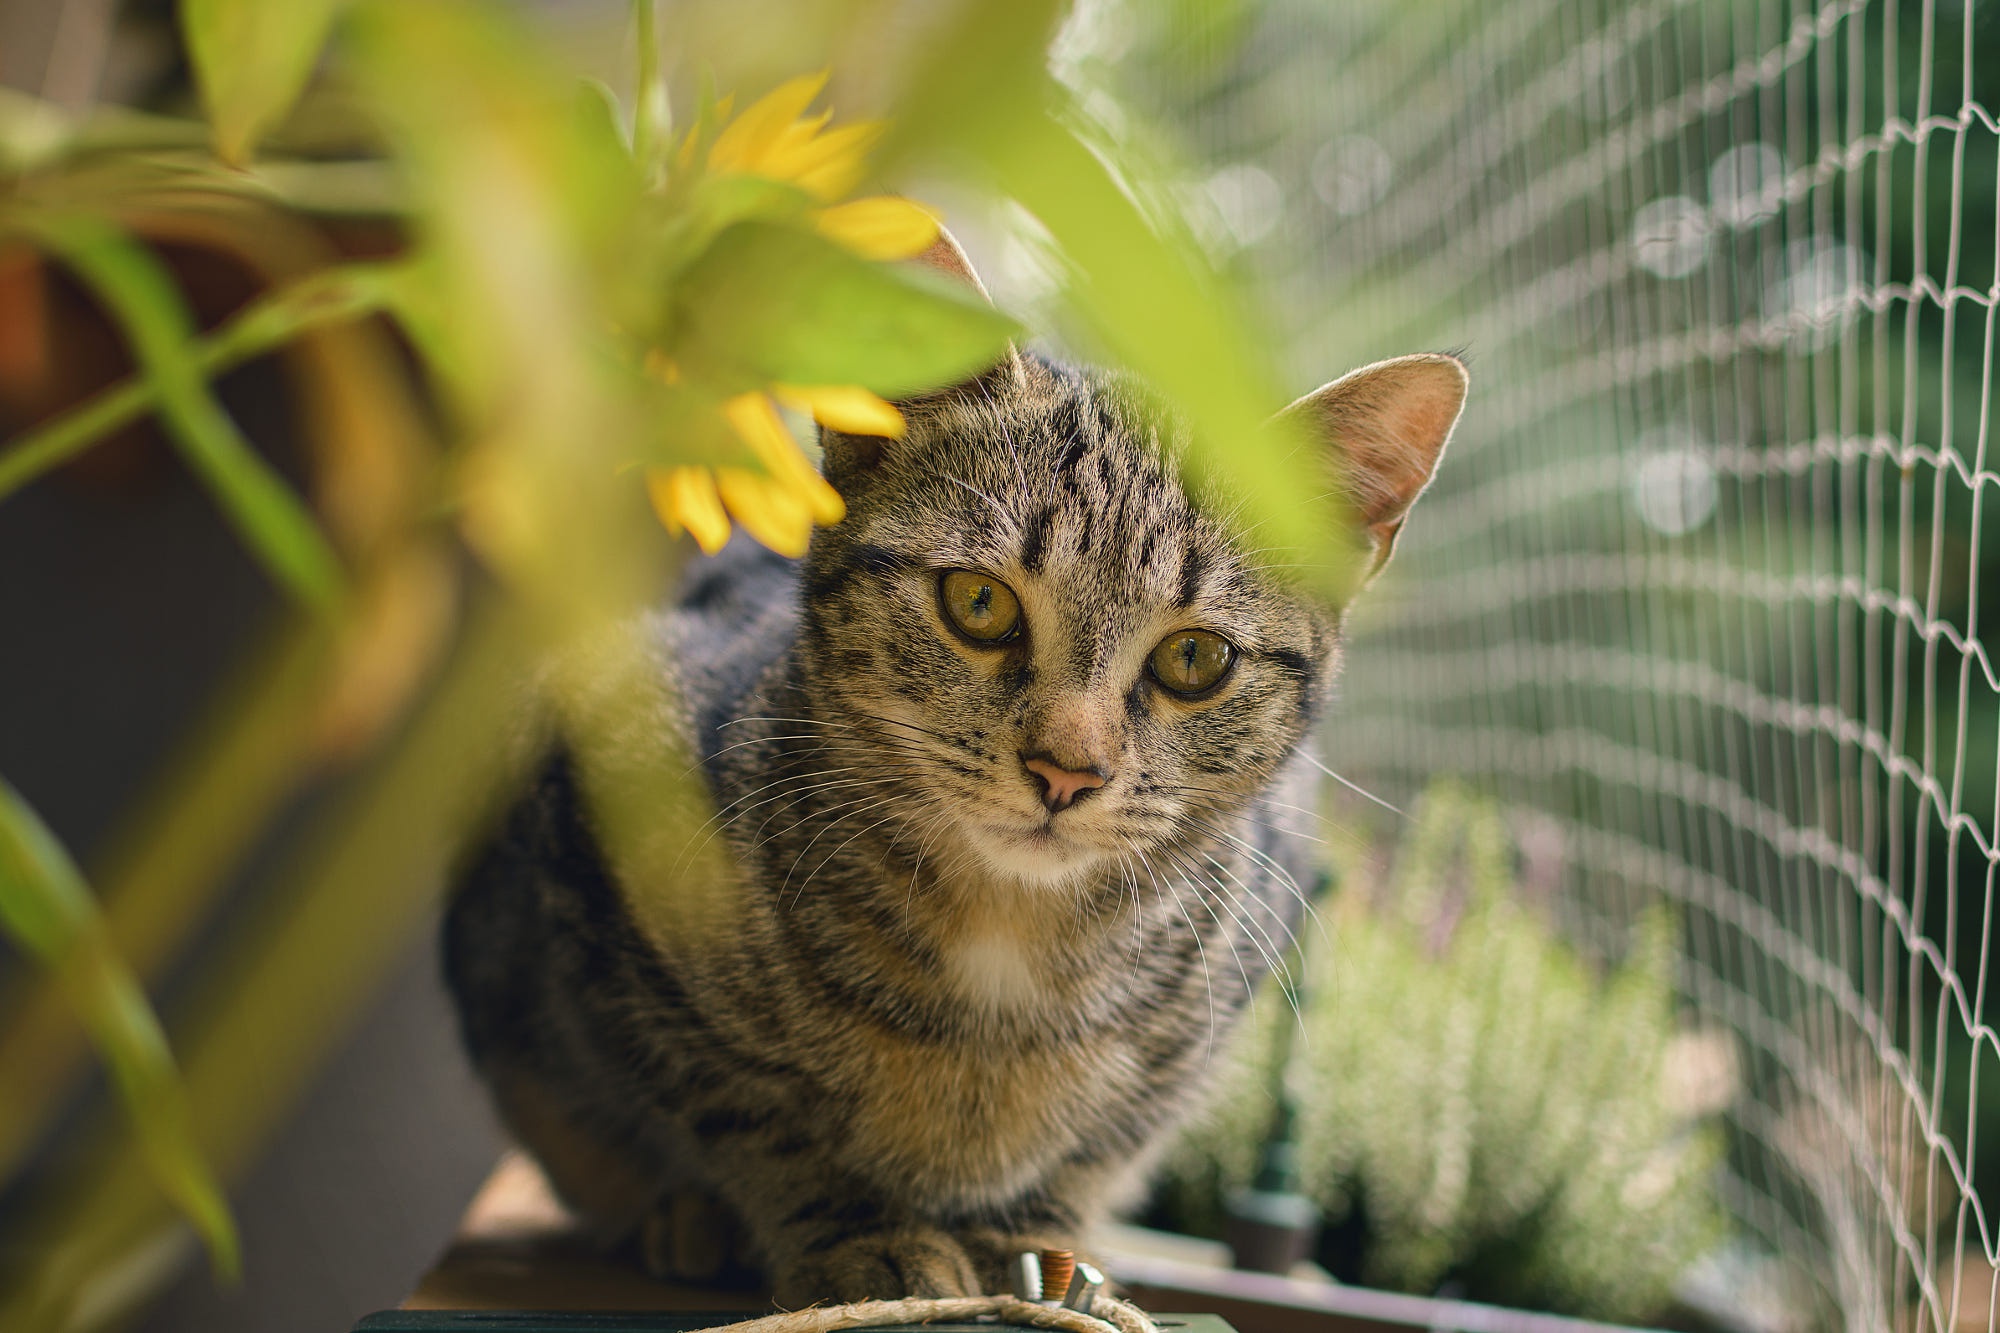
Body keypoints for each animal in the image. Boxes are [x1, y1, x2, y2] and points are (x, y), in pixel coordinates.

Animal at [446, 236, 1464, 1296]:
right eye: (979, 602)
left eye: (1195, 657)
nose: (1067, 771)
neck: (1004, 942)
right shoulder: (604, 819)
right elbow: (749, 1104)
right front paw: (859, 1232)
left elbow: (1093, 1148)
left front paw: (1036, 1246)